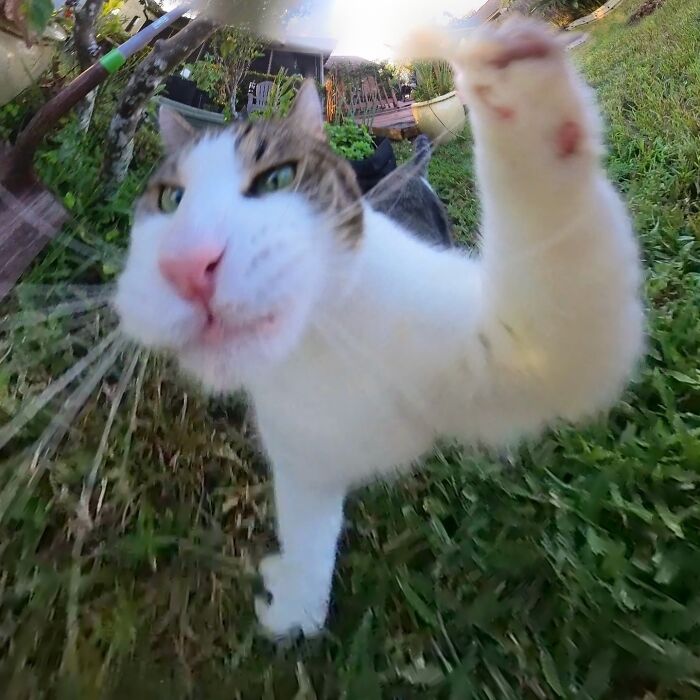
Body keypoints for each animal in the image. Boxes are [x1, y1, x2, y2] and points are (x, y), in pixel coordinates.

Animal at [115, 19, 644, 636]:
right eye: (171, 199)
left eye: (278, 179)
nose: (189, 263)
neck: (319, 348)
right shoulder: (301, 462)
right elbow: (308, 536)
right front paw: (295, 604)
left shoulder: (511, 347)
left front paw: (521, 99)